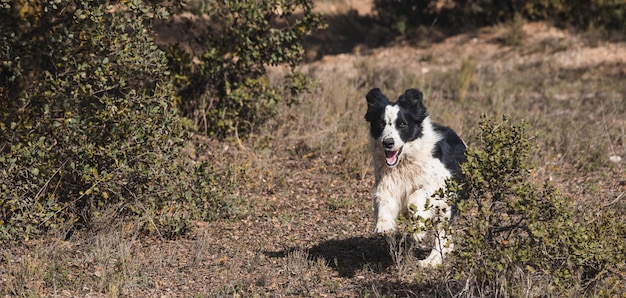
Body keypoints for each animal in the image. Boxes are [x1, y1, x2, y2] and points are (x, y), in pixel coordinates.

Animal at [366, 87, 464, 266]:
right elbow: (383, 198)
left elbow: (415, 195)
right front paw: (384, 226)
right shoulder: (388, 182)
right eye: (381, 124)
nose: (388, 142)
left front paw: (418, 232)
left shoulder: (443, 183)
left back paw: (431, 261)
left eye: (402, 124)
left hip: (445, 208)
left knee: (442, 234)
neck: (406, 160)